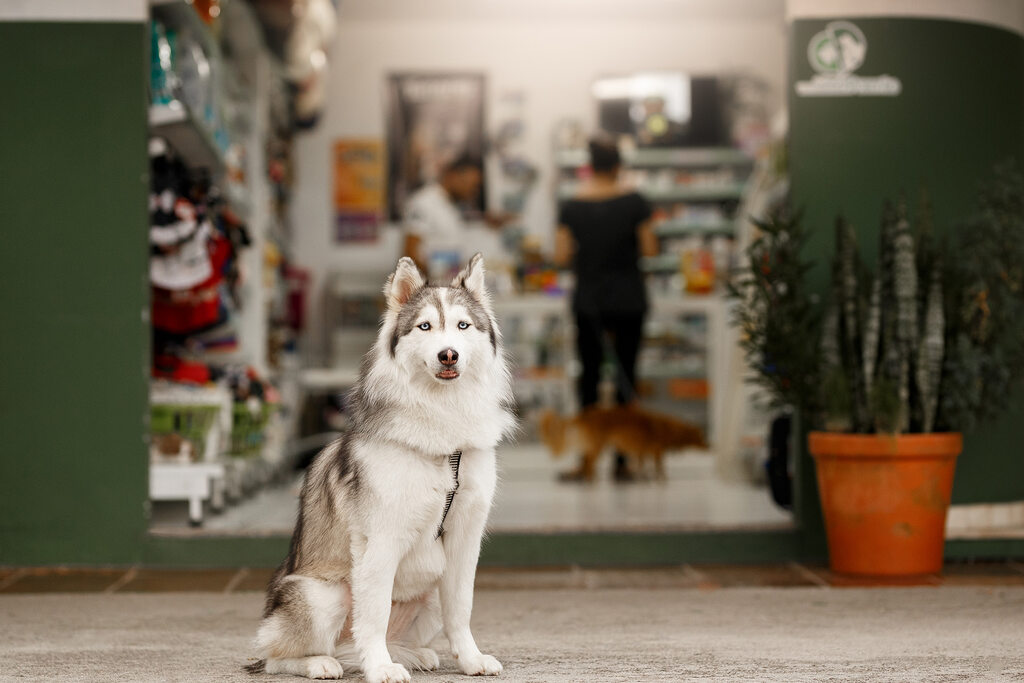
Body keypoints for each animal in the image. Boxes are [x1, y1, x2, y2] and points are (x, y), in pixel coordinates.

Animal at [246, 255, 516, 683]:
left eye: (462, 326)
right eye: (424, 326)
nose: (448, 355)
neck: (443, 422)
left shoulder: (464, 540)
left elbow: (461, 609)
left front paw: (470, 659)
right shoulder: (382, 538)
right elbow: (372, 616)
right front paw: (380, 667)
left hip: (430, 591)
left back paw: (411, 654)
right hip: (322, 595)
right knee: (276, 656)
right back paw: (323, 662)